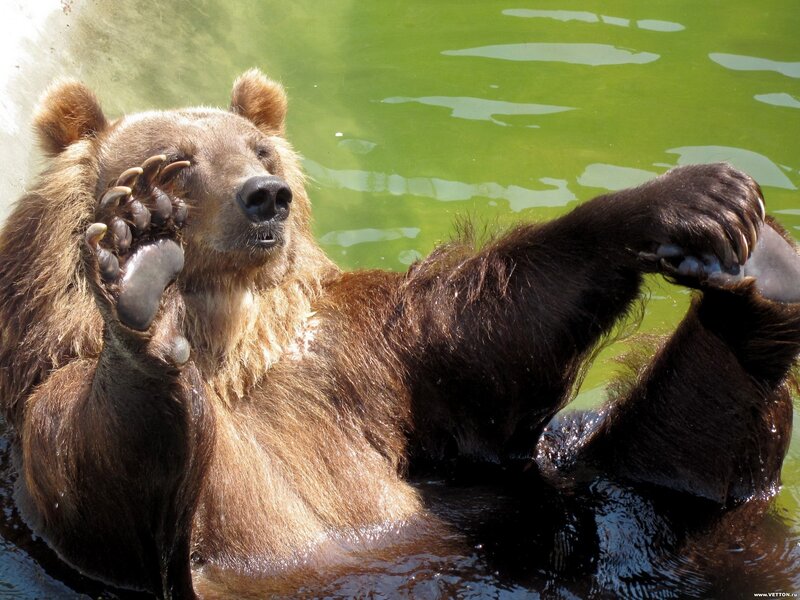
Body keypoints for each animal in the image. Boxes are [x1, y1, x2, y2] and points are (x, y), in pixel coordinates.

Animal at [0, 69, 799, 599]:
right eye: (178, 164)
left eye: (259, 150)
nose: (266, 197)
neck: (235, 346)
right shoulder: (54, 417)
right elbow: (100, 475)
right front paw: (141, 270)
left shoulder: (360, 358)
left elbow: (479, 340)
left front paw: (688, 196)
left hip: (571, 498)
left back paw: (763, 274)